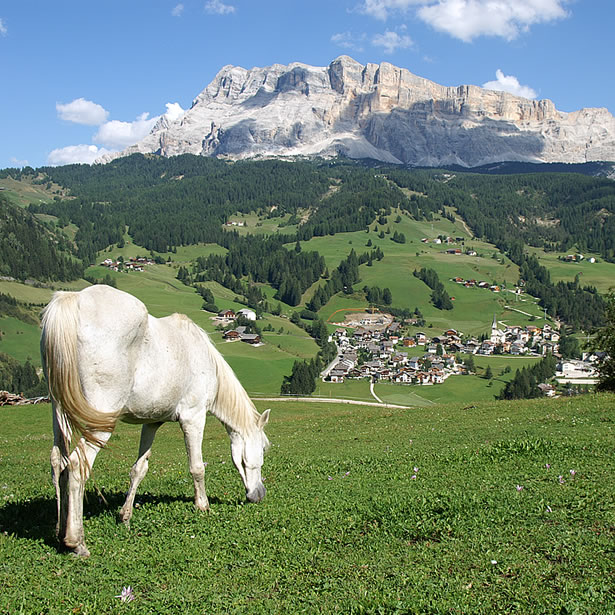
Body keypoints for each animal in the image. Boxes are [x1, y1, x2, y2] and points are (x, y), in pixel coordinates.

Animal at [39, 284, 268, 560]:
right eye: (263, 449)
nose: (258, 495)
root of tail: (74, 300)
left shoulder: (151, 423)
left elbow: (139, 469)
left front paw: (125, 516)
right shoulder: (193, 417)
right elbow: (197, 467)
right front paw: (203, 506)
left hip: (59, 410)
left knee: (58, 461)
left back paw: (59, 531)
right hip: (99, 422)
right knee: (75, 466)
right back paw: (76, 542)